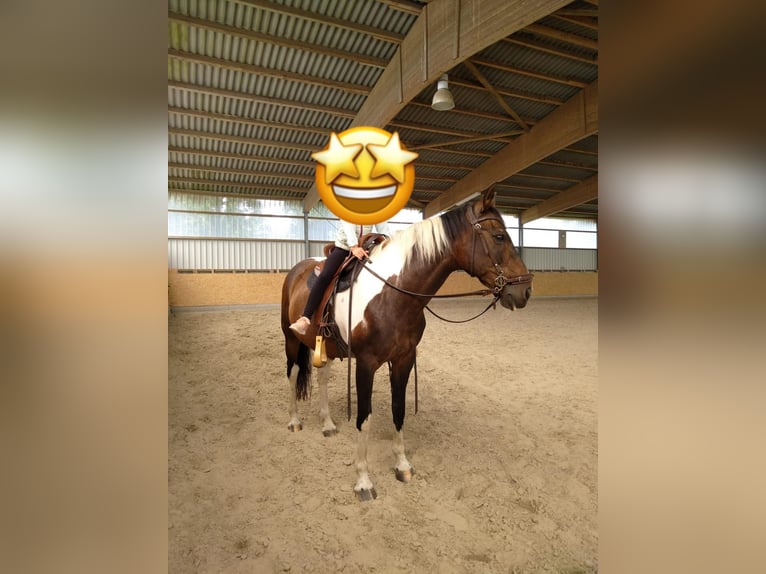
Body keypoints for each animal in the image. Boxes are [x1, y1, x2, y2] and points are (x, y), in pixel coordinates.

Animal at [280, 186, 532, 500]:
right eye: (499, 236)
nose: (525, 290)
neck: (393, 293)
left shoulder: (404, 359)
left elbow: (398, 409)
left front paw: (402, 465)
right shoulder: (366, 364)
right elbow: (364, 417)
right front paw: (363, 481)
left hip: (324, 345)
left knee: (322, 377)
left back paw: (327, 424)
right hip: (291, 339)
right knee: (292, 375)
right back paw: (294, 421)